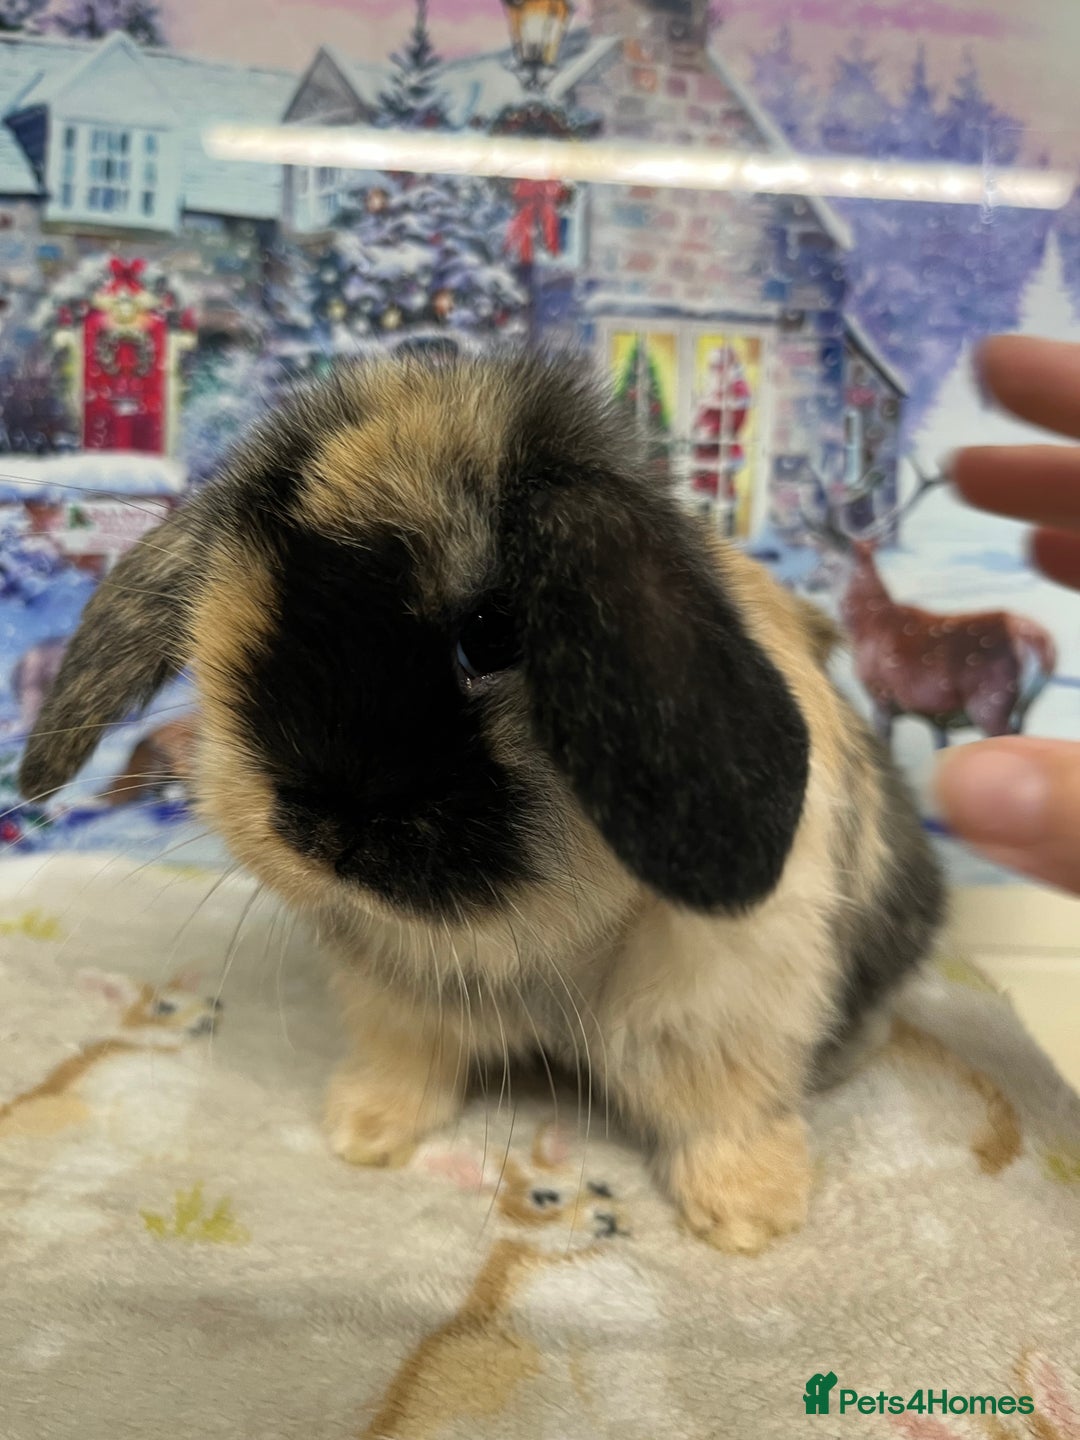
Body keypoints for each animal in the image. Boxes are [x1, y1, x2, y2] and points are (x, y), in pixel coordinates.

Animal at [18, 350, 945, 1254]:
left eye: (492, 636)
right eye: (247, 634)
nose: (322, 830)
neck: (539, 943)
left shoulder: (721, 1004)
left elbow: (720, 1108)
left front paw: (748, 1217)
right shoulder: (400, 999)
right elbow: (408, 1059)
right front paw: (363, 1131)